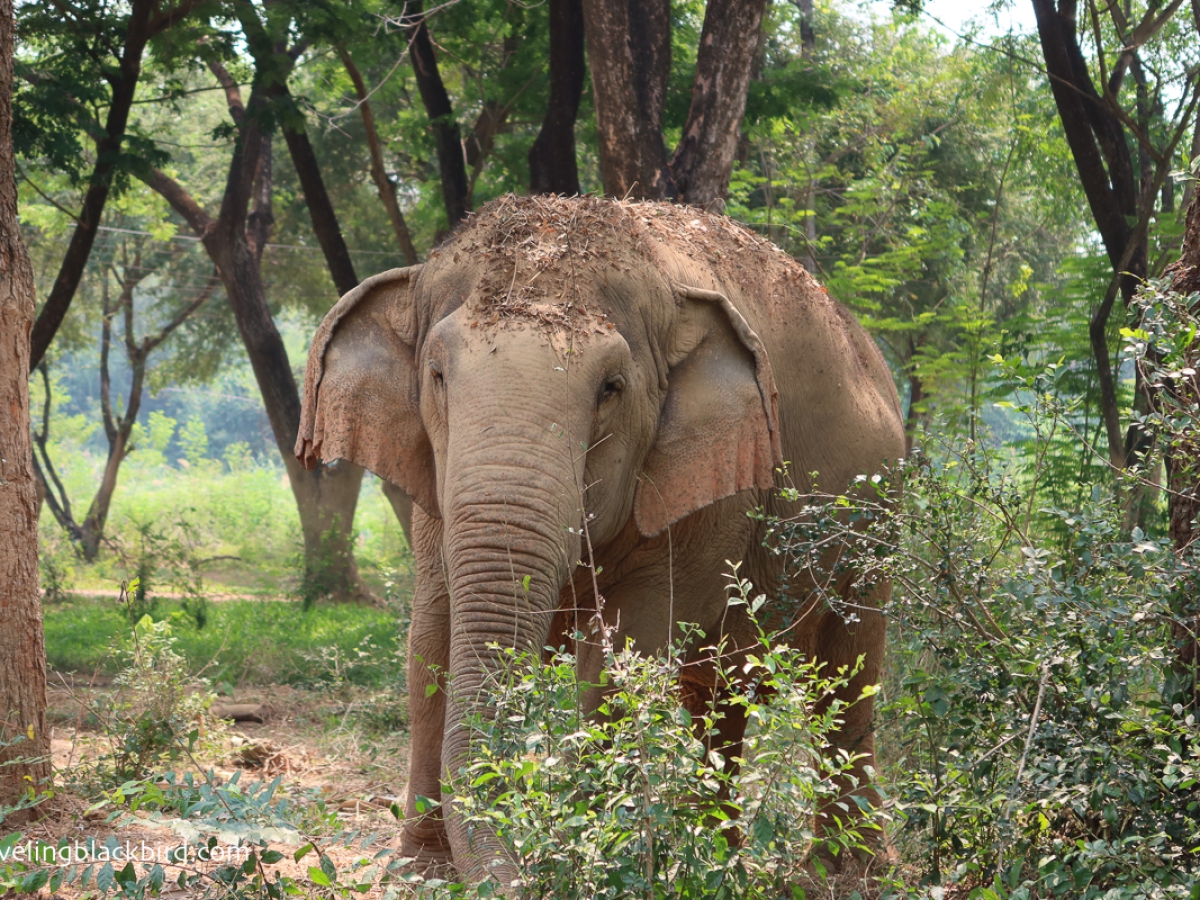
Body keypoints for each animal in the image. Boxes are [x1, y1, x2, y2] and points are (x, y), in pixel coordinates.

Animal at [295, 195, 902, 888]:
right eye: (438, 374)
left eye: (611, 388)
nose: (521, 877)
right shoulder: (432, 485)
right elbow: (431, 643)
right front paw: (424, 873)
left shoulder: (707, 489)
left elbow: (617, 662)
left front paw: (590, 863)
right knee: (714, 697)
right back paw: (722, 858)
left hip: (875, 528)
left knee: (847, 681)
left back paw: (840, 875)